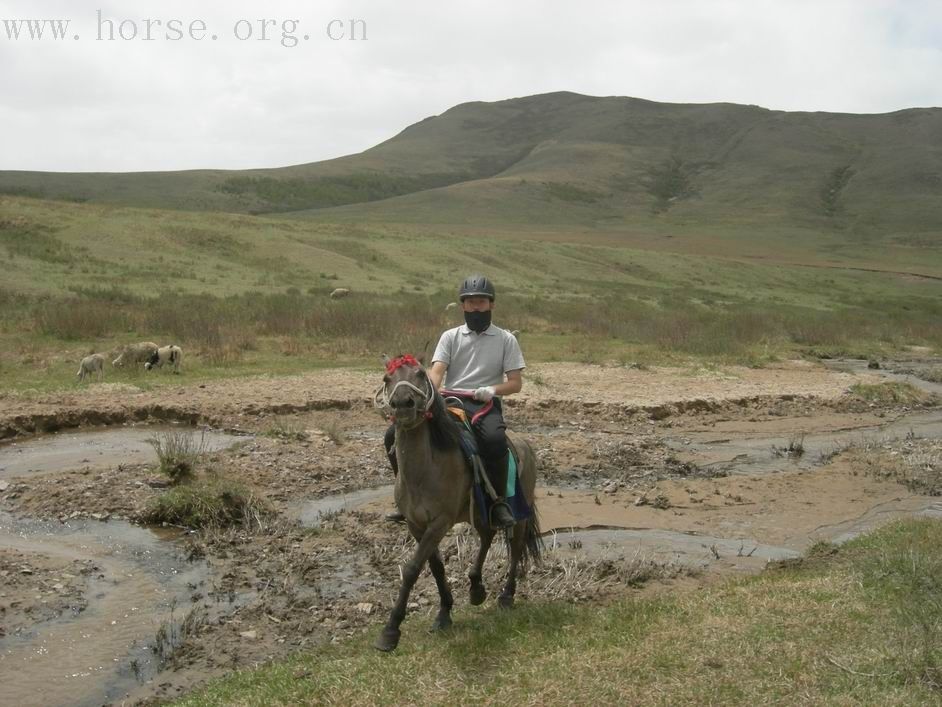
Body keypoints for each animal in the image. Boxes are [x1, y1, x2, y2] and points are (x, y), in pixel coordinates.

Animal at [372, 354, 544, 652]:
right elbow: (435, 567)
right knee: (487, 537)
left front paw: (391, 630)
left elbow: (412, 569)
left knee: (515, 548)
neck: (424, 469)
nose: (403, 404)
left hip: (519, 515)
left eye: (420, 374)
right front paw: (444, 613)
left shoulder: (440, 523)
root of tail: (524, 445)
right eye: (386, 379)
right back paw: (476, 588)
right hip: (481, 512)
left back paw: (506, 596)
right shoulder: (417, 525)